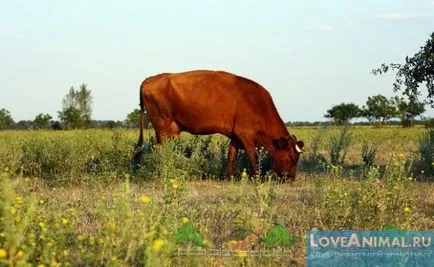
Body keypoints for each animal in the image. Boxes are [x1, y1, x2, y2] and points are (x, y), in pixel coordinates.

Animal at [136, 70, 306, 181]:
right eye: (292, 157)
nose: (291, 179)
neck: (257, 104)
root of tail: (151, 78)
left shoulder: (236, 136)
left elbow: (231, 156)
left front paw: (227, 178)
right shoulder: (246, 135)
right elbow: (254, 157)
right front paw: (258, 178)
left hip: (170, 130)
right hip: (162, 126)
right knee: (160, 150)